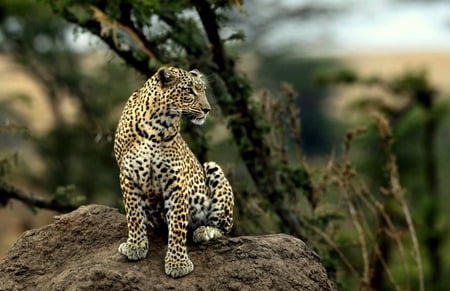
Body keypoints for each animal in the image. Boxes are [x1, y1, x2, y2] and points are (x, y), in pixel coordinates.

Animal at [112, 65, 234, 278]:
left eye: (203, 91)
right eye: (190, 92)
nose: (207, 109)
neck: (155, 125)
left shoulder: (175, 182)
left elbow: (177, 225)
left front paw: (177, 263)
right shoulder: (128, 175)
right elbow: (134, 215)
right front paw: (135, 246)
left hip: (212, 167)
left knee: (224, 229)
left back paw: (205, 231)